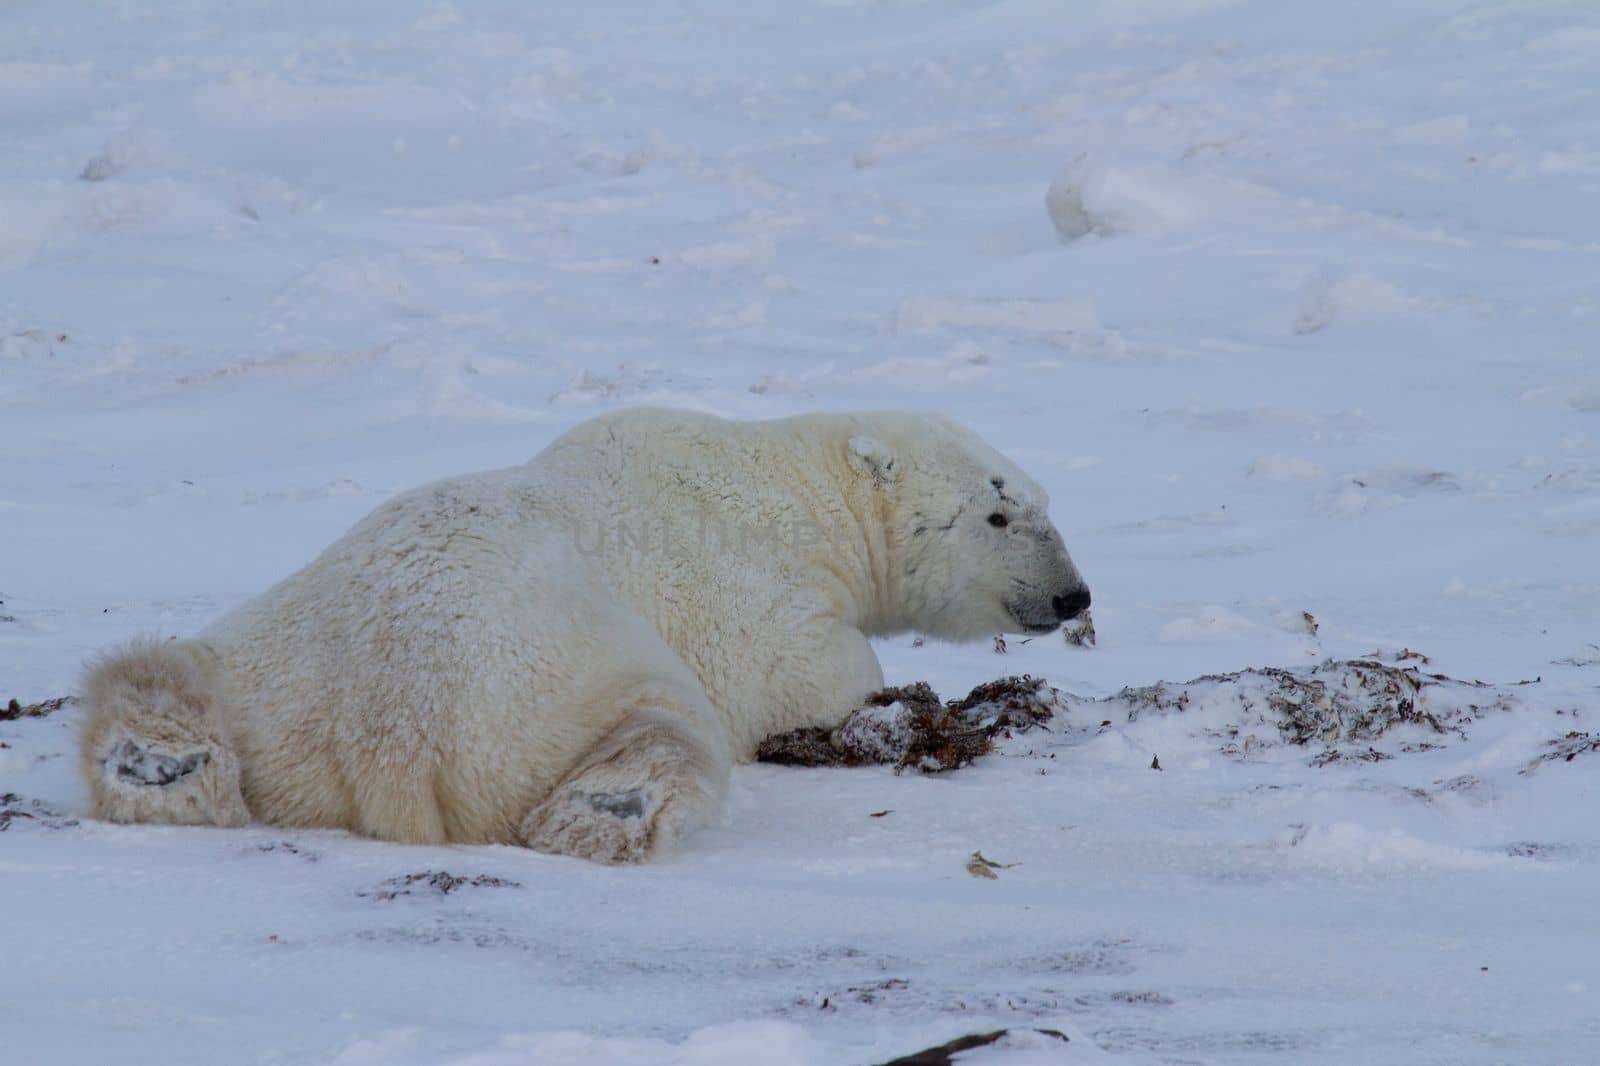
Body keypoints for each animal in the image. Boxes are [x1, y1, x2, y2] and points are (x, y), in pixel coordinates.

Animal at [81, 406, 1094, 864]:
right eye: (1001, 515)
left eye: (1045, 504)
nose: (1074, 596)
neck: (794, 490)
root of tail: (385, 737)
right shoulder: (739, 593)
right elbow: (806, 673)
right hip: (552, 675)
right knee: (662, 729)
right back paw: (617, 807)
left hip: (270, 657)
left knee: (167, 677)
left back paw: (150, 763)